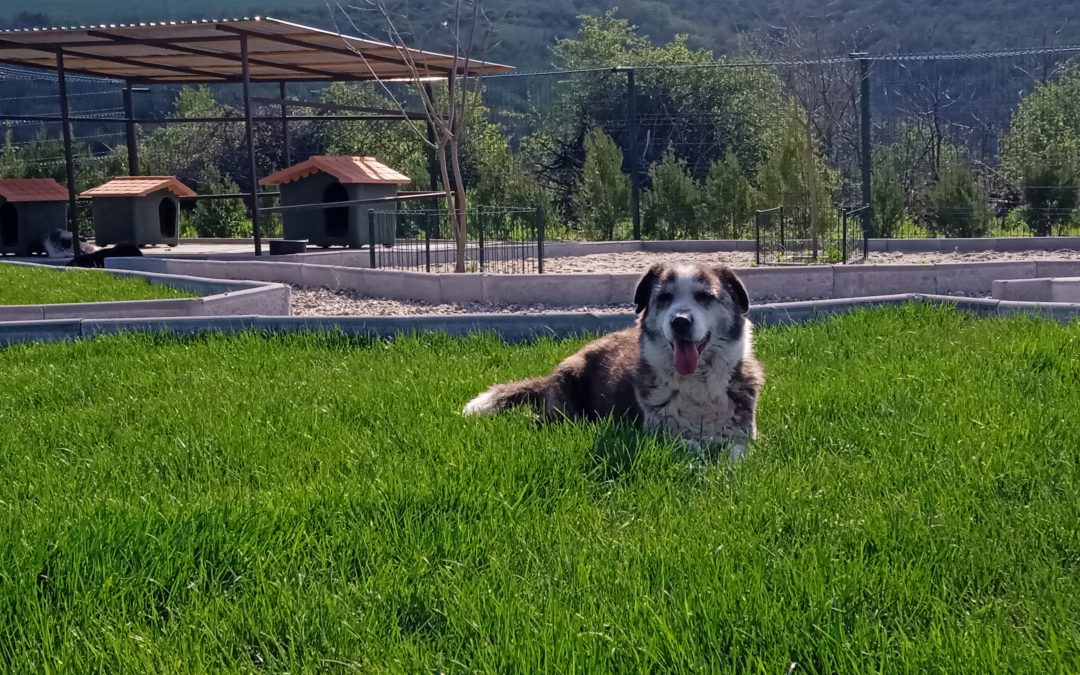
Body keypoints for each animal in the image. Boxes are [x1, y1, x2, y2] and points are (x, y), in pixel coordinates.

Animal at [460, 262, 764, 457]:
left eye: (704, 297)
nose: (679, 322)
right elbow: (692, 446)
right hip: (567, 393)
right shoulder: (658, 433)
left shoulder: (745, 435)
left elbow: (735, 452)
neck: (696, 381)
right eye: (664, 297)